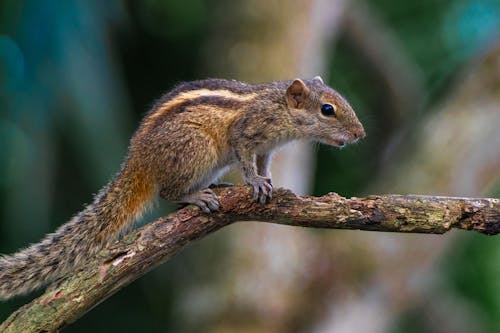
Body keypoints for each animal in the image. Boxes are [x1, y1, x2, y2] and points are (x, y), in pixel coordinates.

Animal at [0, 76, 368, 298]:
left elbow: (263, 164)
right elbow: (247, 160)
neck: (278, 107)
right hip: (196, 148)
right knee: (168, 193)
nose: (360, 134)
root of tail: (138, 160)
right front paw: (255, 182)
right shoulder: (246, 134)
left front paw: (269, 182)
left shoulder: (267, 148)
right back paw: (197, 196)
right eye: (327, 109)